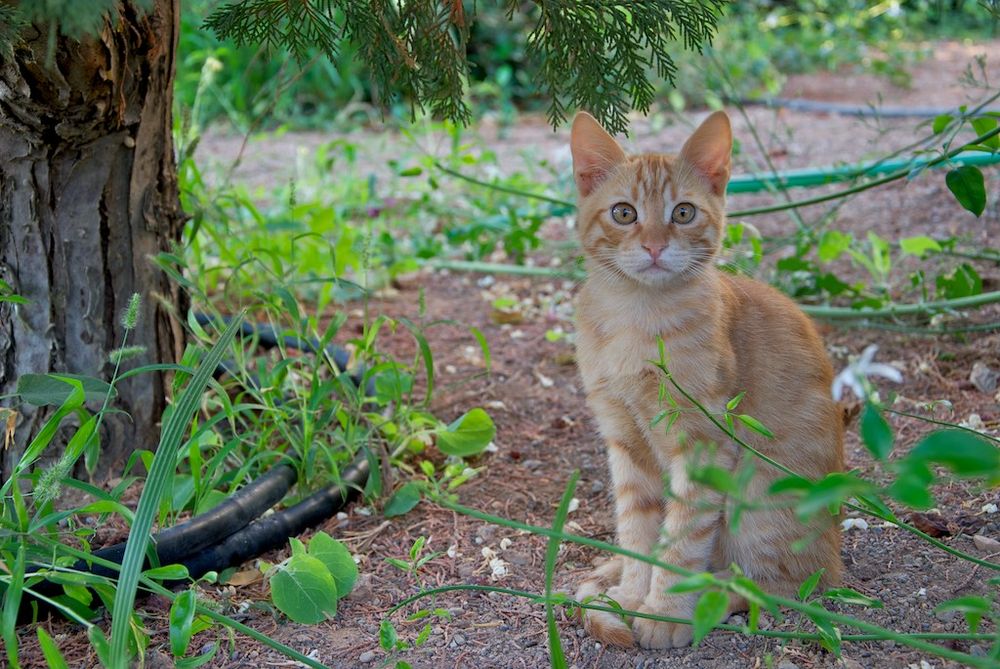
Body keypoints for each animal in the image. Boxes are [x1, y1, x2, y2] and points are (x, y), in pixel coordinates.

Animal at [572, 112, 844, 648]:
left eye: (682, 213)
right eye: (623, 213)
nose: (655, 246)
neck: (636, 317)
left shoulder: (702, 443)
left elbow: (680, 538)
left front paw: (664, 612)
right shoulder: (625, 440)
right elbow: (638, 528)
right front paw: (633, 594)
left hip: (760, 499)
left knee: (778, 585)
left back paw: (708, 597)